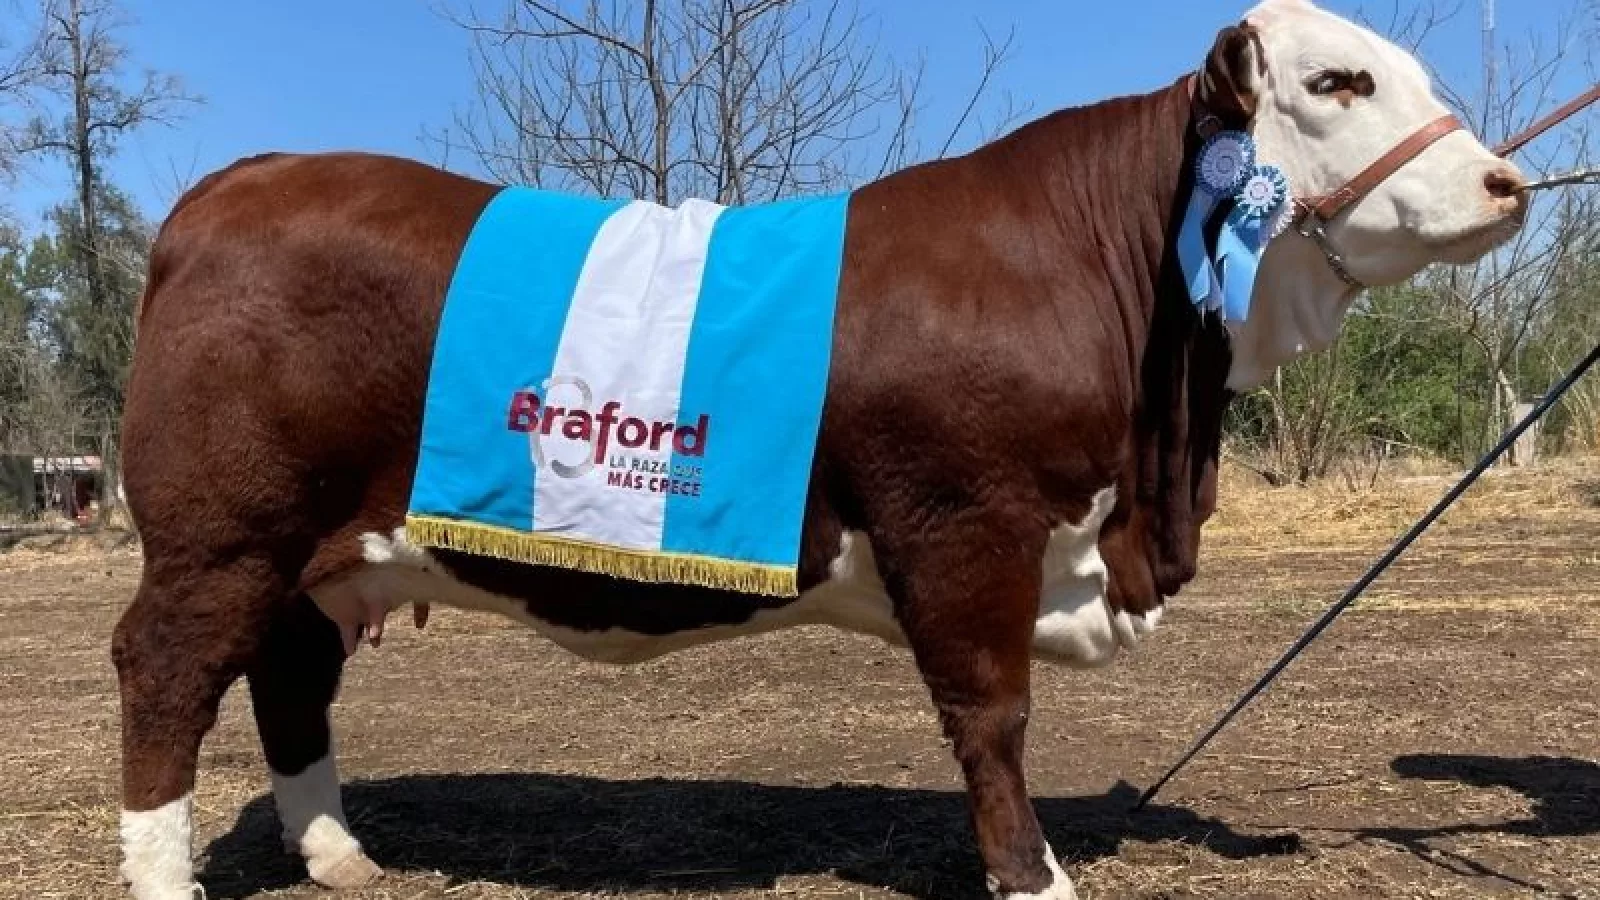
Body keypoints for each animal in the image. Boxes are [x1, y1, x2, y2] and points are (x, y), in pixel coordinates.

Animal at [111, 1, 1527, 898]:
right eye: (1336, 82)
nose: (1507, 184)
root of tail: (239, 182)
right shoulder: (964, 523)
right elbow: (992, 717)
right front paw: (1032, 878)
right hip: (218, 537)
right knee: (168, 673)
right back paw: (170, 878)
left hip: (312, 551)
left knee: (291, 678)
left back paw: (342, 857)